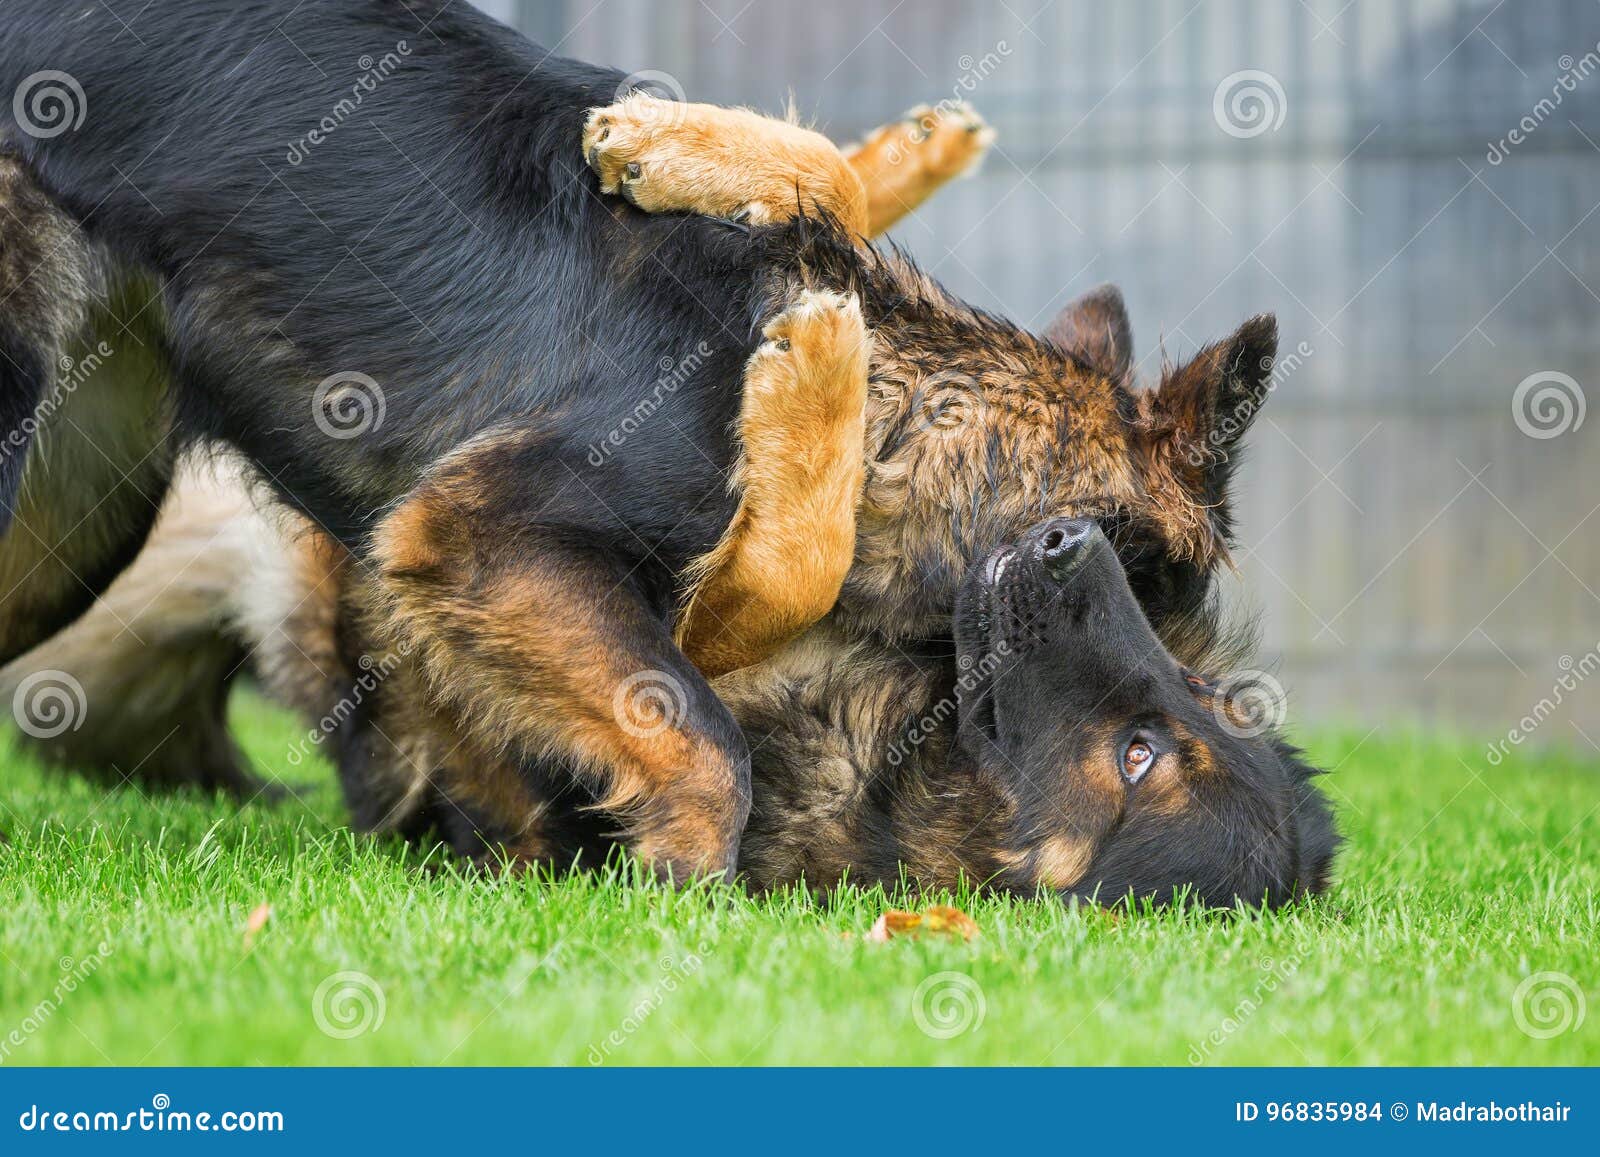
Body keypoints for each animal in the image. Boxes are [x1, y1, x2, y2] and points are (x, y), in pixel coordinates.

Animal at [3, 0, 1337, 902]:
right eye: (1167, 693)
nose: (1196, 670)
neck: (907, 418)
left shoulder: (494, 571)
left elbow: (725, 672)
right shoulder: (482, 535)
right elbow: (709, 740)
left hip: (72, 524)